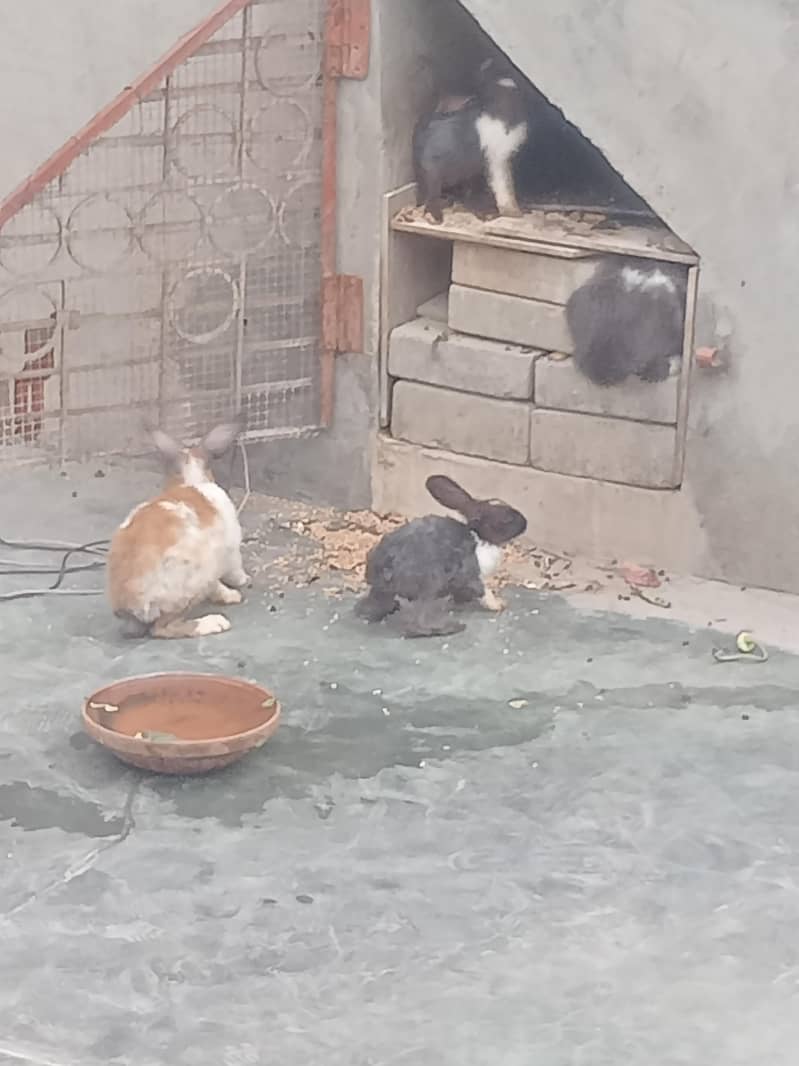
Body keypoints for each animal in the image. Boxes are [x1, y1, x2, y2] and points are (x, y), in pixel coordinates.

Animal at [106, 420, 250, 640]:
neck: (192, 478)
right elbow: (234, 569)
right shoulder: (230, 549)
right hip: (190, 586)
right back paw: (214, 623)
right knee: (163, 629)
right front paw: (239, 587)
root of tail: (131, 600)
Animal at [355, 475, 527, 638]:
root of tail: (382, 567)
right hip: (429, 586)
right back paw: (450, 628)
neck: (480, 537)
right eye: (506, 519)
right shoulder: (471, 575)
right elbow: (484, 592)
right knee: (416, 624)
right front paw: (498, 604)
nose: (525, 522)